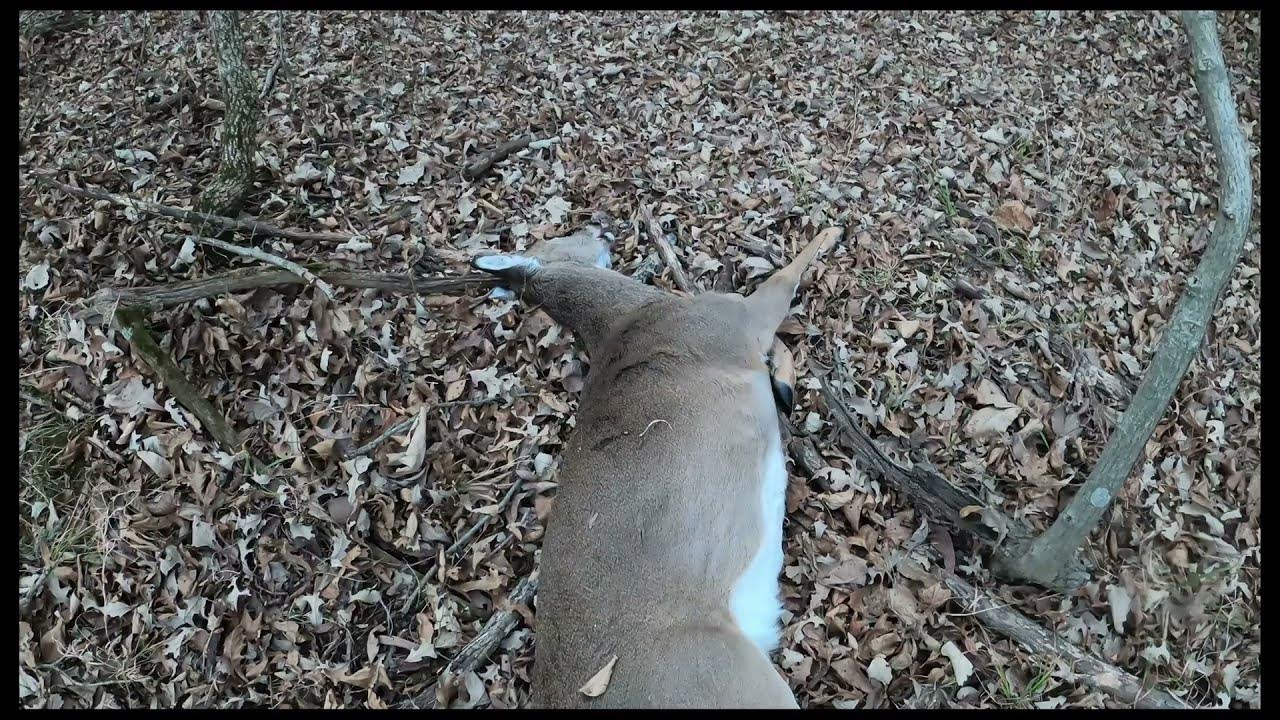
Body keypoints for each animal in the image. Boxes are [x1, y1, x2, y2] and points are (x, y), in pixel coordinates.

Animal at [471, 223, 841, 708]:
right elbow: (784, 277)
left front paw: (784, 382)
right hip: (734, 679)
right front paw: (833, 231)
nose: (601, 224)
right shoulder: (735, 319)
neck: (633, 313)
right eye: (564, 236)